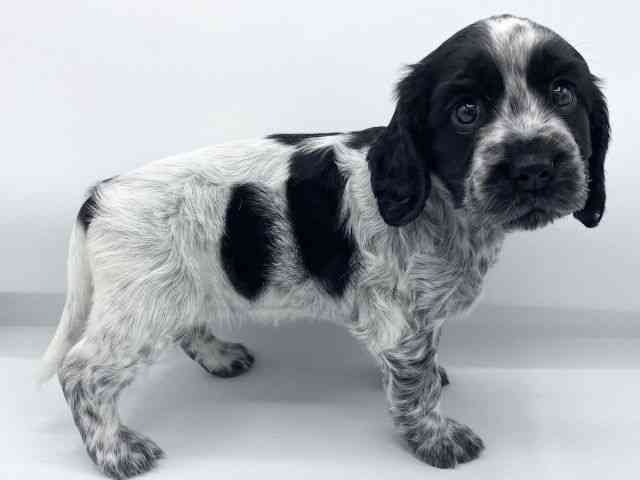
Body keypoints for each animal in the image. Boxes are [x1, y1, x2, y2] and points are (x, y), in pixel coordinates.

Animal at [39, 14, 609, 478]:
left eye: (564, 94)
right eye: (466, 111)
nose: (533, 167)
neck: (444, 204)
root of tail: (100, 195)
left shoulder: (414, 317)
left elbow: (418, 366)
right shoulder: (401, 320)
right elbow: (417, 386)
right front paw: (437, 438)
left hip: (176, 289)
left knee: (186, 326)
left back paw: (220, 356)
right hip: (140, 307)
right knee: (81, 372)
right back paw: (116, 451)